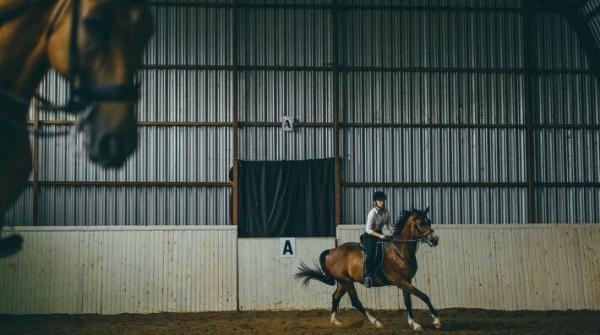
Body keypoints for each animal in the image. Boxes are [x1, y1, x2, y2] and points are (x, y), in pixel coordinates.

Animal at [296, 209, 440, 332]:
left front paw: (414, 323)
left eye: (429, 221)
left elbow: (408, 301)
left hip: (343, 282)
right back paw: (376, 322)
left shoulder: (407, 280)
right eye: (421, 223)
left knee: (335, 297)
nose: (435, 240)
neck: (400, 251)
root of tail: (332, 251)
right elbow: (424, 296)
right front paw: (436, 321)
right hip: (347, 282)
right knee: (355, 302)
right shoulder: (401, 281)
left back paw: (335, 322)